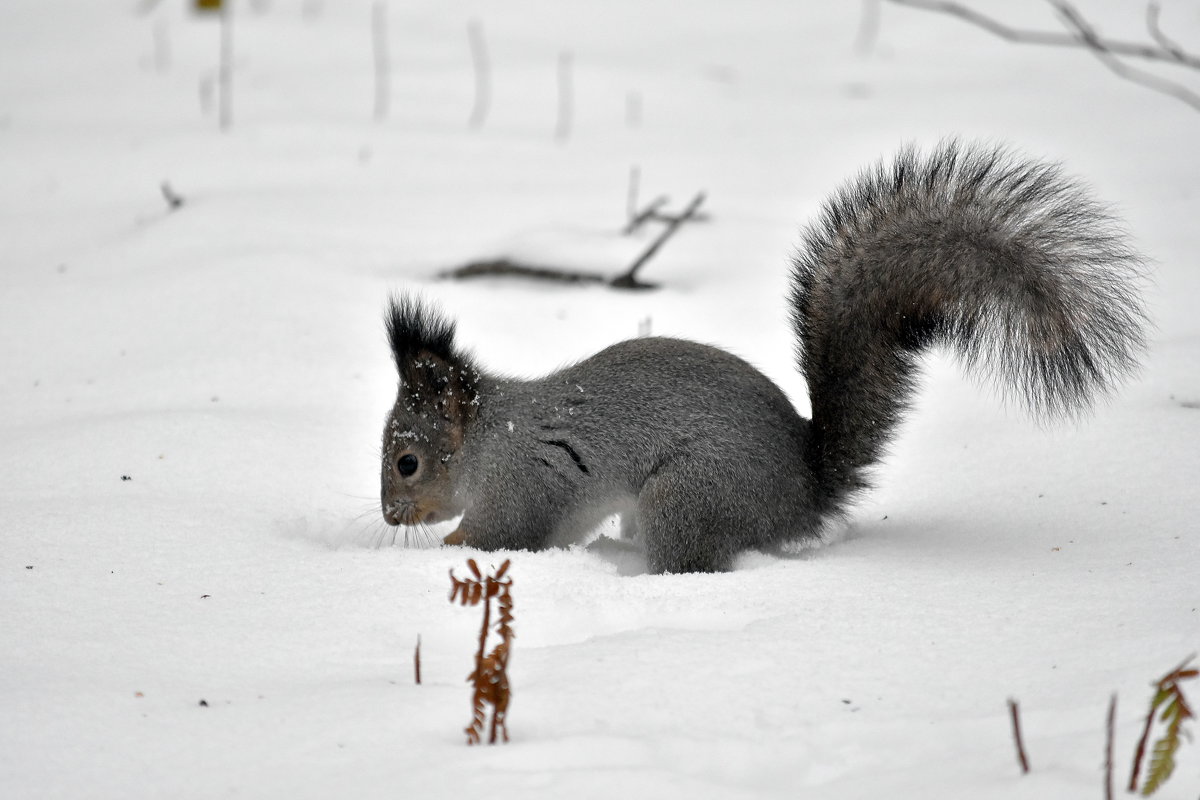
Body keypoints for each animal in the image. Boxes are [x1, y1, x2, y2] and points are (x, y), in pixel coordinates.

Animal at [379, 140, 1147, 573]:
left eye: (407, 462)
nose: (389, 516)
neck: (486, 440)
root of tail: (801, 496)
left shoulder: (524, 483)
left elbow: (500, 534)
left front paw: (436, 554)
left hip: (691, 495)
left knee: (693, 564)